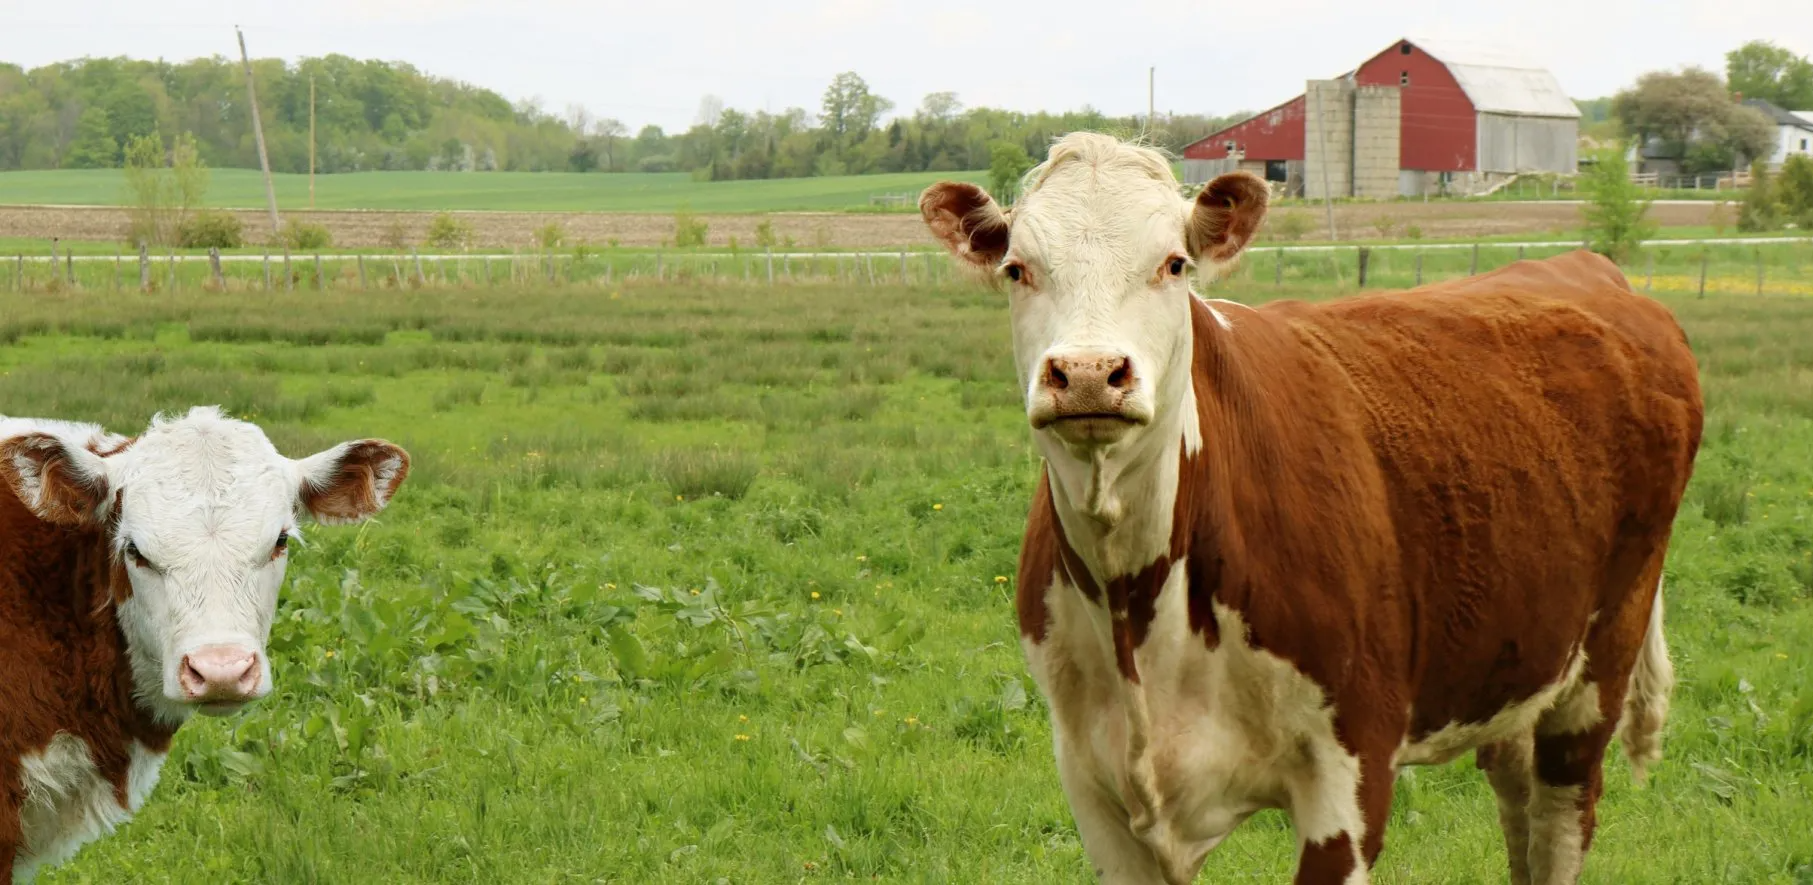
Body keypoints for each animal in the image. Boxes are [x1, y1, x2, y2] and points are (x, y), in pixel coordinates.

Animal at [919, 133, 1701, 885]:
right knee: (1515, 795)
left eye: (1174, 264)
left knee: (1563, 816)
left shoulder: (1351, 771)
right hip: (1515, 654)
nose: (1086, 372)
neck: (1133, 605)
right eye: (1017, 269)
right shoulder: (1094, 787)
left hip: (1603, 655)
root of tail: (1588, 267)